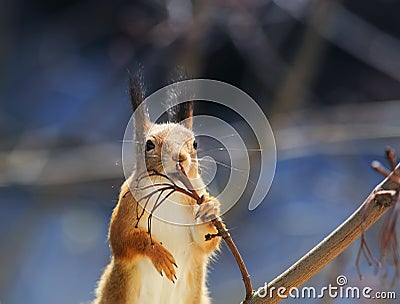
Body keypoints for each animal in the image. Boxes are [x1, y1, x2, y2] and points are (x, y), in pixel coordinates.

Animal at [94, 76, 222, 304]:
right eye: (149, 145)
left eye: (195, 143)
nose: (179, 158)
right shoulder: (127, 204)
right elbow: (121, 238)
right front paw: (158, 253)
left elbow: (204, 242)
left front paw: (209, 208)